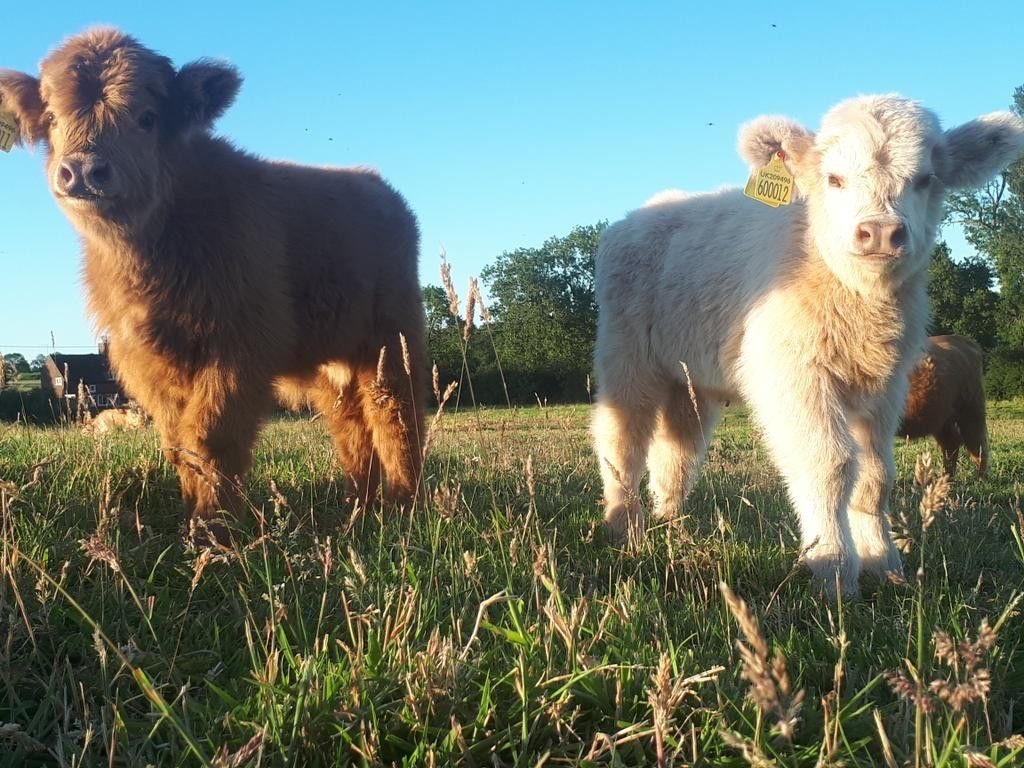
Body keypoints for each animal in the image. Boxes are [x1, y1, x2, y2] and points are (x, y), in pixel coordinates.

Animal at [0, 29, 427, 541]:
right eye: (52, 118)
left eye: (146, 117)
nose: (83, 169)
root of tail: (375, 183)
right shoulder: (146, 362)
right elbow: (178, 442)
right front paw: (194, 523)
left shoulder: (237, 346)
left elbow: (210, 436)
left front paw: (216, 530)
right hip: (333, 358)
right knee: (350, 424)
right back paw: (359, 509)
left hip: (392, 337)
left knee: (396, 414)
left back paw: (404, 508)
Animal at [900, 335, 988, 478]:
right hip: (942, 418)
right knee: (951, 443)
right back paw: (947, 477)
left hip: (971, 410)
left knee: (978, 445)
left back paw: (981, 478)